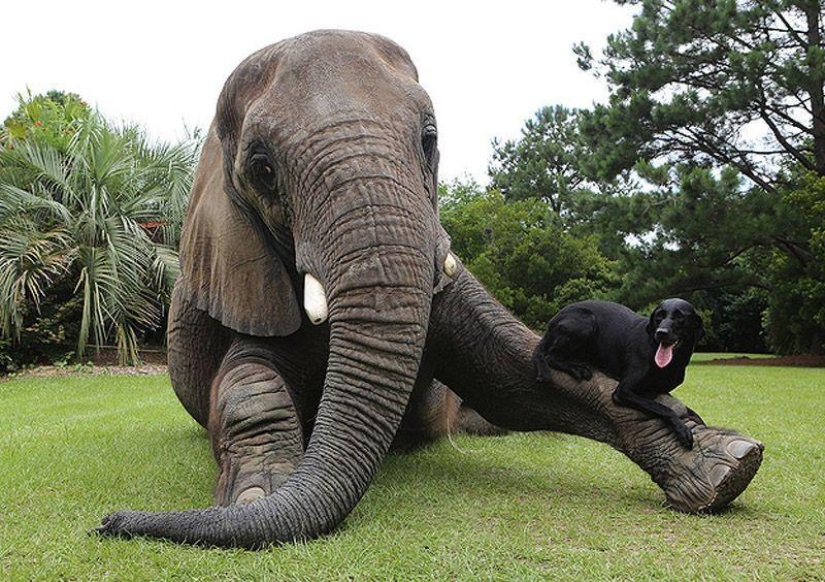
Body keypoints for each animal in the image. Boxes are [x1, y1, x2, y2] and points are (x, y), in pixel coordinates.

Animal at [536, 298, 700, 450]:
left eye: (679, 317)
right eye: (659, 316)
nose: (661, 333)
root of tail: (553, 320)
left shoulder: (663, 390)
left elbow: (685, 408)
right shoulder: (623, 392)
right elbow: (663, 408)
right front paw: (682, 429)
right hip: (586, 321)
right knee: (550, 357)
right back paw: (577, 369)